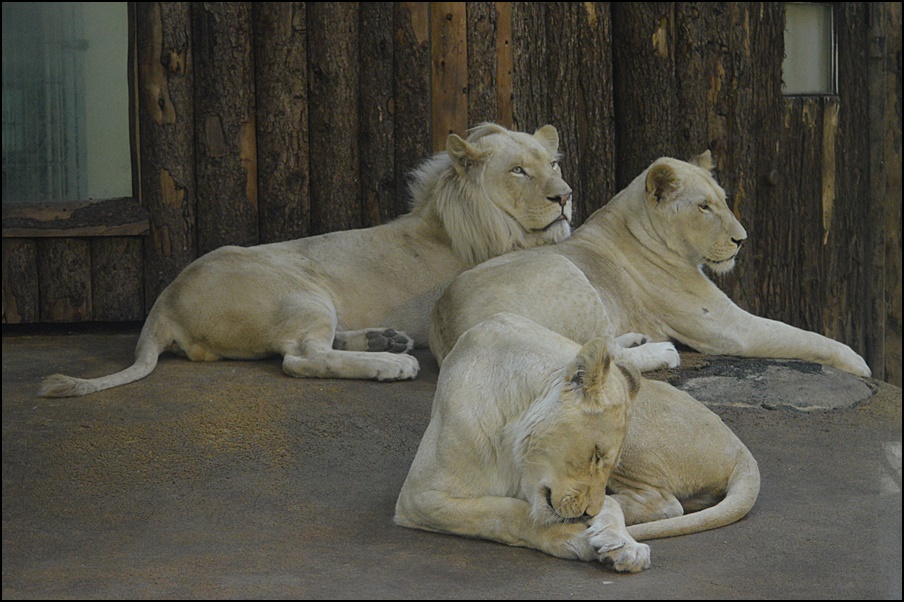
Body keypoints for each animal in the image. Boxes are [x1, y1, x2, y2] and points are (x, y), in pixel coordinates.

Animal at [40, 123, 572, 394]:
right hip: (302, 291)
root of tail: (163, 304)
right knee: (301, 357)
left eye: (553, 163)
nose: (565, 197)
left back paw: (384, 339)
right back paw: (390, 362)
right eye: (518, 171)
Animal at [400, 312, 760, 568]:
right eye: (596, 454)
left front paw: (618, 542)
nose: (588, 513)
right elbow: (505, 514)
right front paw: (581, 537)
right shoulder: (421, 494)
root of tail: (741, 448)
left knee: (667, 503)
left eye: (606, 460)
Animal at [434, 150, 872, 378]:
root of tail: (449, 326)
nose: (742, 239)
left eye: (723, 200)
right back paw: (660, 353)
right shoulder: (729, 329)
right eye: (703, 207)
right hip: (565, 271)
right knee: (592, 354)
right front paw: (857, 361)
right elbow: (797, 334)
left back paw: (637, 339)